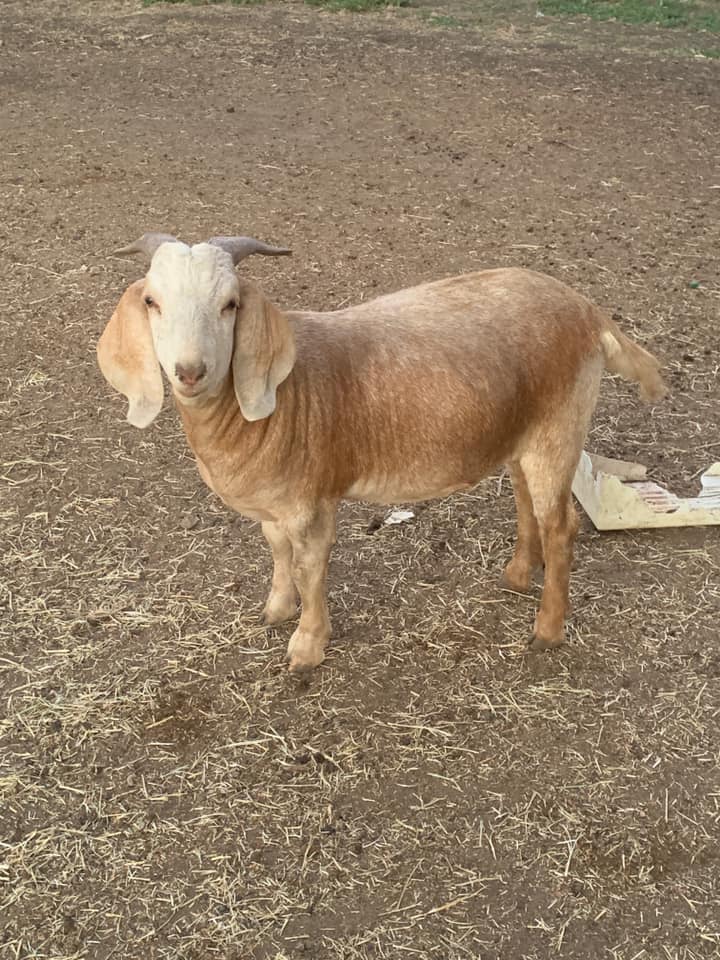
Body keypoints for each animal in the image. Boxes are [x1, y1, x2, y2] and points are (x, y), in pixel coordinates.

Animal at [98, 233, 666, 671]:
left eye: (230, 304)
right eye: (152, 302)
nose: (190, 371)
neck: (281, 397)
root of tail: (588, 311)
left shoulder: (311, 502)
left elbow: (310, 567)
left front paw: (306, 647)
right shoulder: (275, 505)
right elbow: (278, 552)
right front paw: (276, 609)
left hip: (560, 426)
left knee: (562, 526)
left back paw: (547, 631)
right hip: (525, 433)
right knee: (529, 502)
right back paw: (518, 576)